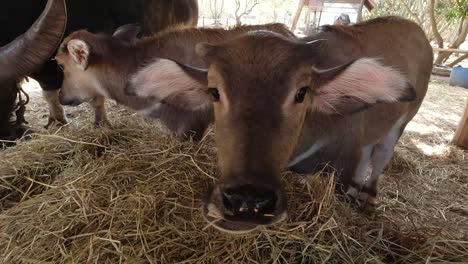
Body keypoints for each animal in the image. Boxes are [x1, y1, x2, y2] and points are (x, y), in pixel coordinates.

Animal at [127, 16, 432, 233]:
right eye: (214, 92)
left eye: (302, 92)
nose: (248, 201)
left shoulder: (345, 163)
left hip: (404, 120)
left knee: (381, 154)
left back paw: (368, 197)